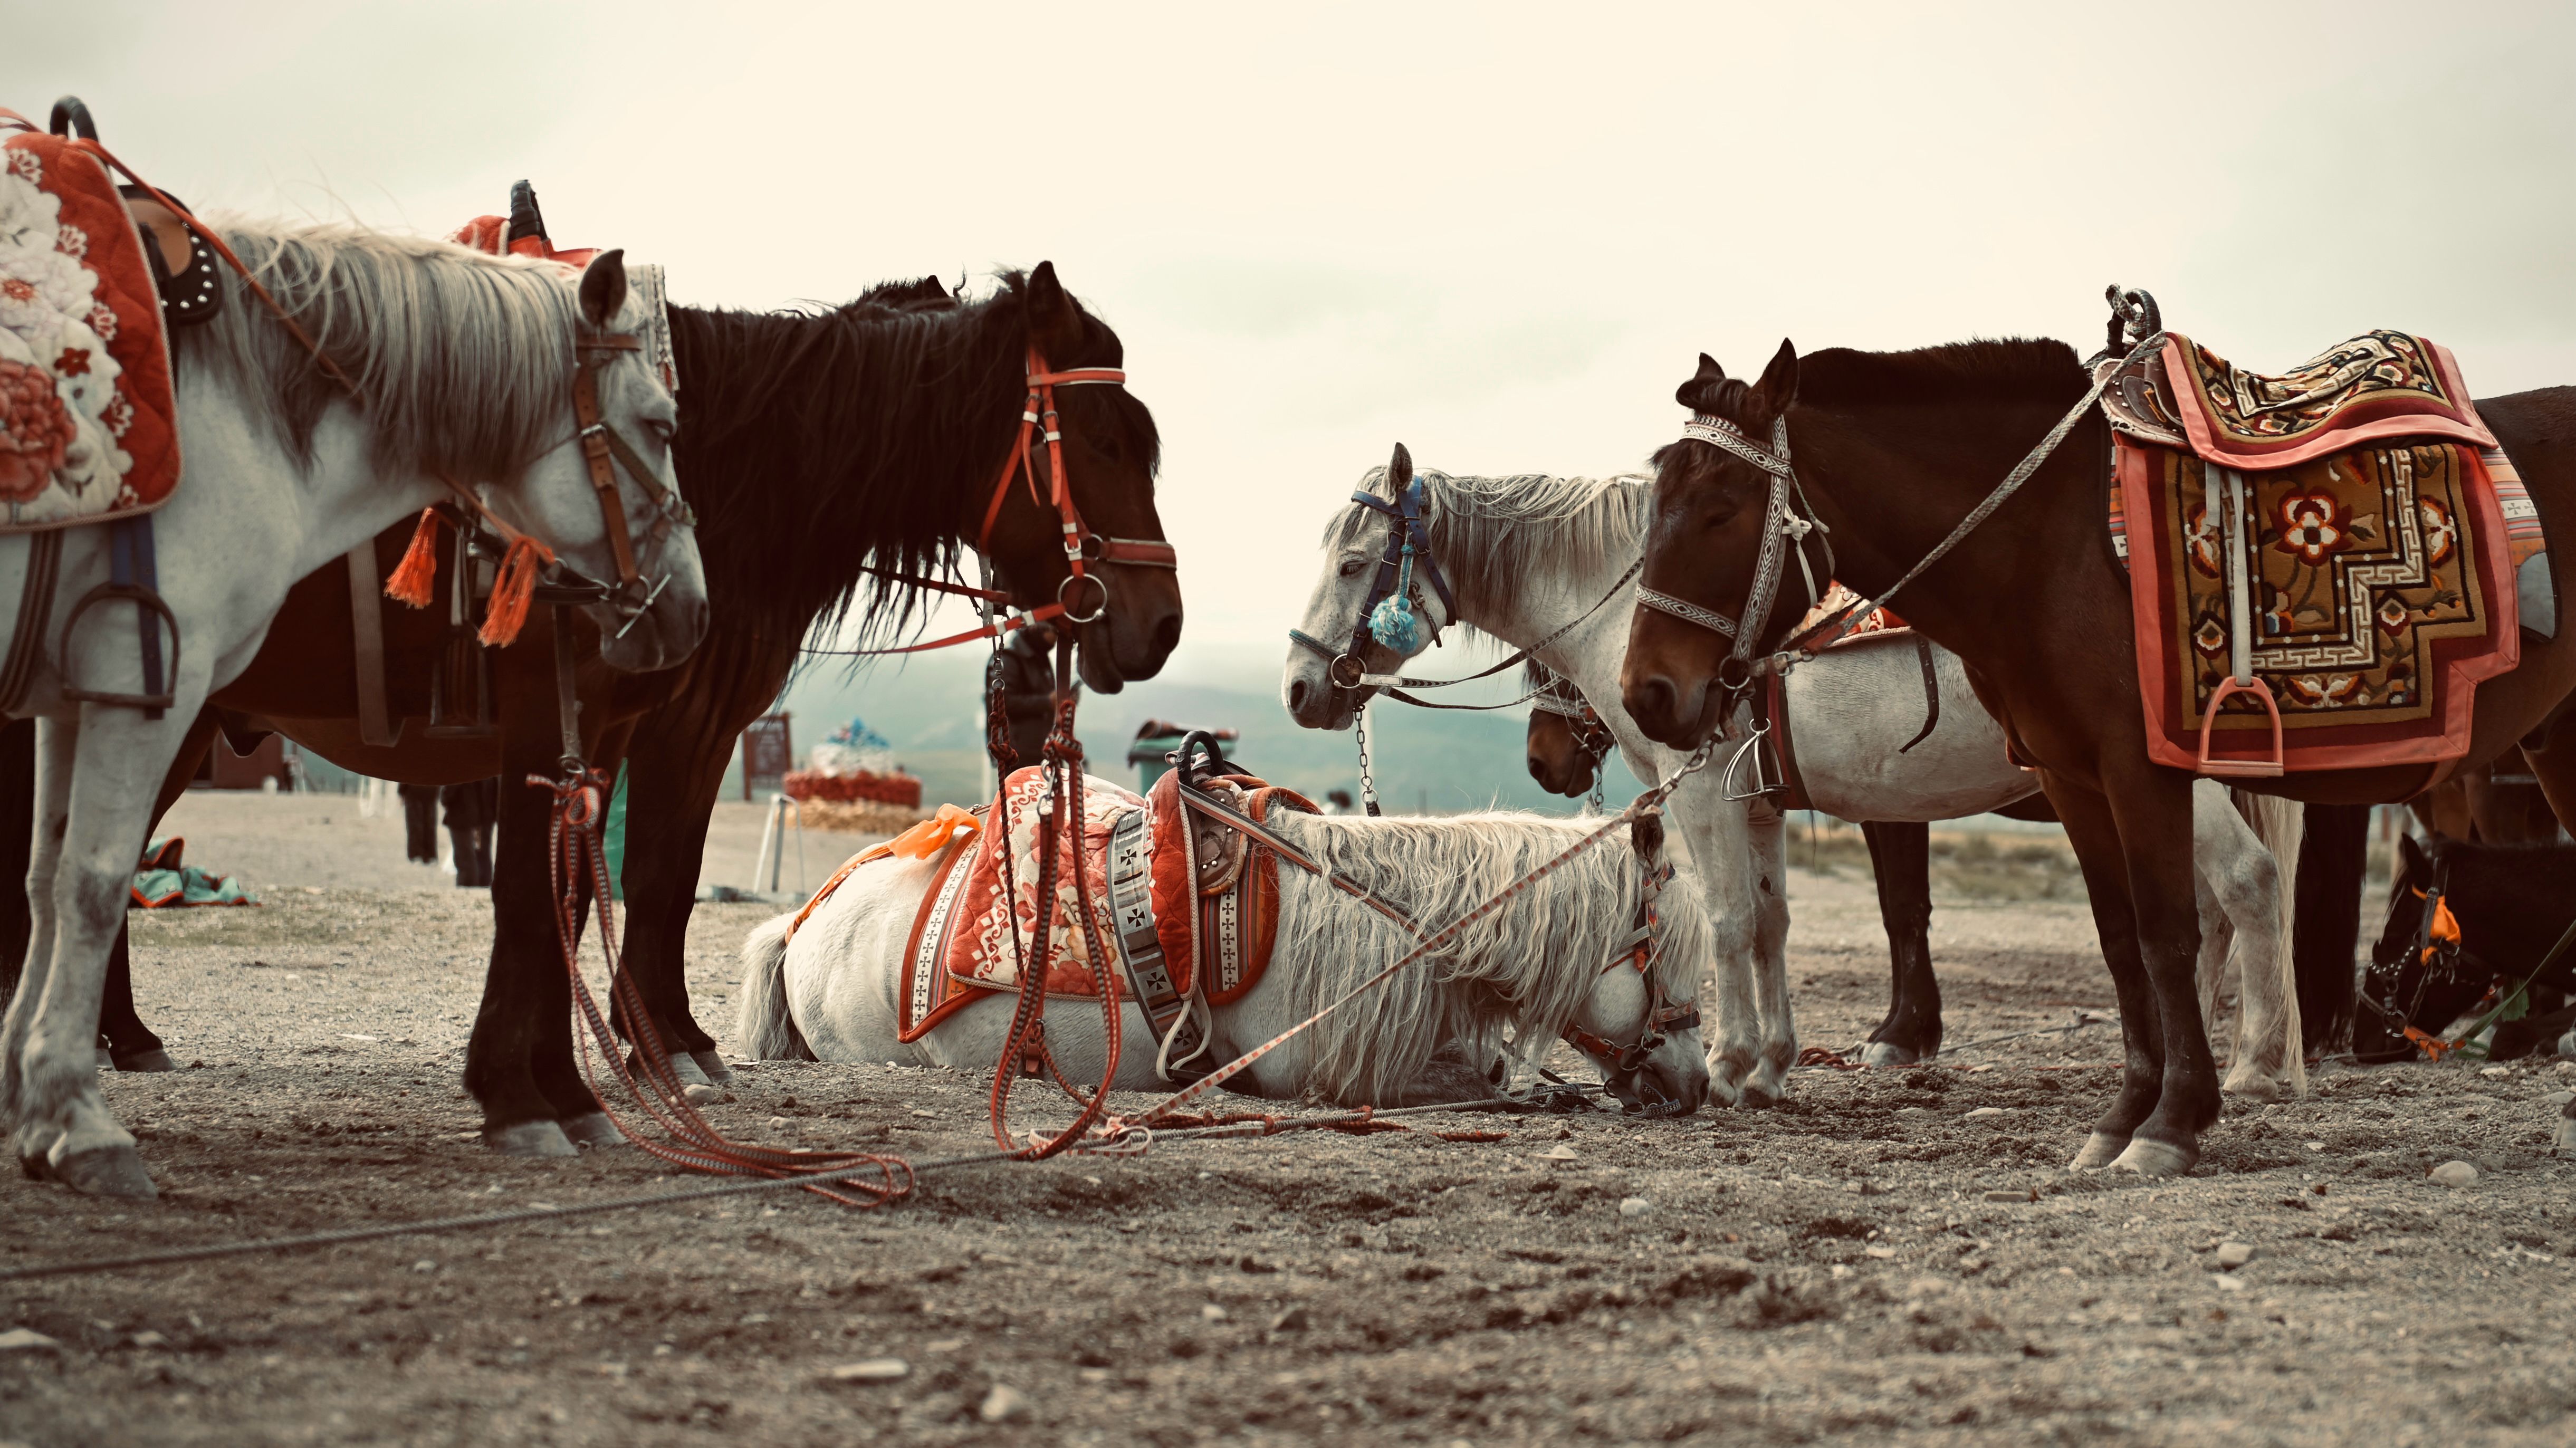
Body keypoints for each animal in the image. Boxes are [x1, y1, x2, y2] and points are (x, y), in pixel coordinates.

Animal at [0, 216, 707, 1197]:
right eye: (661, 423)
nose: (691, 606)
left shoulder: (73, 691)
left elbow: (49, 877)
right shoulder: (141, 675)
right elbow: (94, 883)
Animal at [9, 265, 1181, 1157]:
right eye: (1105, 440)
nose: (1159, 622)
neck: (698, 476)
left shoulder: (637, 729)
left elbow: (596, 896)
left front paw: (615, 1061)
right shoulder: (611, 721)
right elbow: (576, 892)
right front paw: (563, 1081)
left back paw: (121, 1038)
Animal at [1284, 453, 2305, 1104]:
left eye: (1352, 562)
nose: (1299, 686)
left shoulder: (1701, 790)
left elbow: (1729, 921)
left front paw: (1728, 1064)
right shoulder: (1756, 797)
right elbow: (1771, 922)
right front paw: (1773, 1064)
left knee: (2246, 883)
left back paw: (2252, 1066)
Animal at [1618, 337, 2576, 1171]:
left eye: (1720, 510)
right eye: (1652, 510)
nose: (1646, 693)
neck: (2050, 544)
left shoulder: (2136, 771)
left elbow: (2162, 934)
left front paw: (2172, 1123)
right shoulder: (2071, 778)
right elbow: (2119, 942)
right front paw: (2123, 1117)